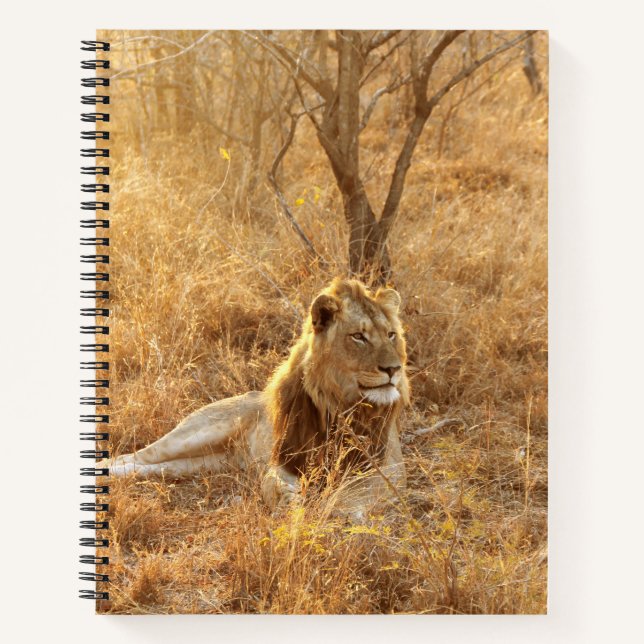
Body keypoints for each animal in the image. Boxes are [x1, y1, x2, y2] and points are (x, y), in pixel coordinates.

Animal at [106, 278, 410, 517]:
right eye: (358, 336)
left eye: (391, 335)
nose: (394, 369)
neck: (340, 404)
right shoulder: (284, 460)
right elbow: (272, 484)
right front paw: (291, 507)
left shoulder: (389, 466)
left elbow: (356, 492)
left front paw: (337, 510)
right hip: (194, 435)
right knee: (130, 456)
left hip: (201, 464)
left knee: (147, 467)